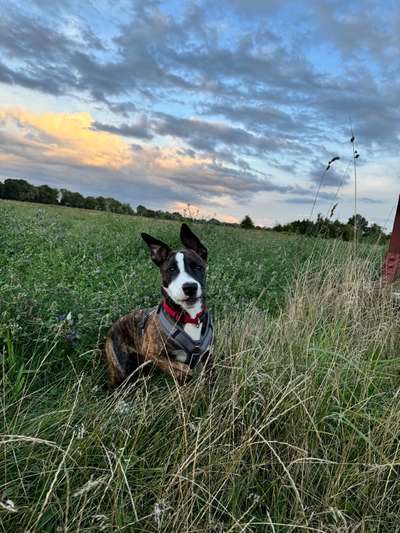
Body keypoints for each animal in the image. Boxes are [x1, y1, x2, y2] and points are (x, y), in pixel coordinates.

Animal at [104, 222, 214, 388]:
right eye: (171, 269)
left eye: (198, 267)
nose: (190, 287)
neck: (190, 317)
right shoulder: (152, 352)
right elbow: (180, 368)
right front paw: (184, 374)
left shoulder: (208, 355)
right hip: (119, 368)